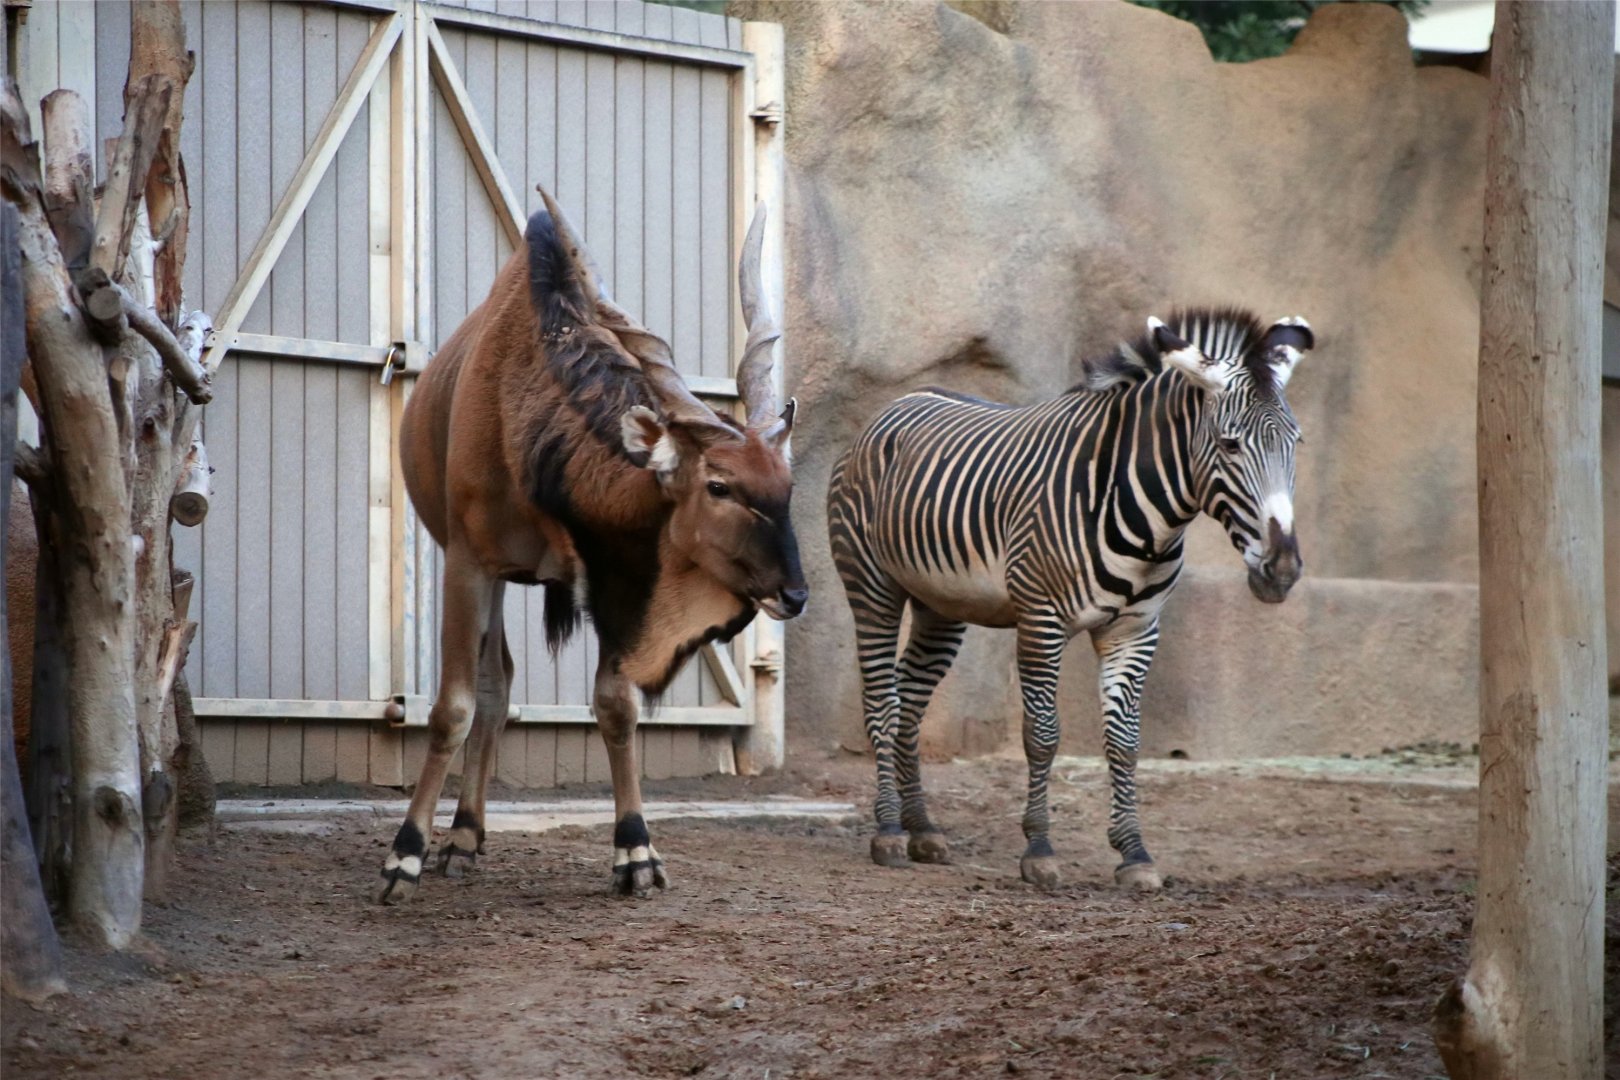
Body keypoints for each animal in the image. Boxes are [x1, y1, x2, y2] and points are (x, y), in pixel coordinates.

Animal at [377, 190, 805, 903]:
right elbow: (452, 706)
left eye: (787, 485)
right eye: (718, 485)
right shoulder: (469, 563)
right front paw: (403, 856)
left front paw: (636, 852)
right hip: (486, 574)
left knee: (504, 685)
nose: (793, 592)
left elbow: (615, 705)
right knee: (492, 686)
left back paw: (466, 834)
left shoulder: (613, 579)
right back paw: (455, 840)